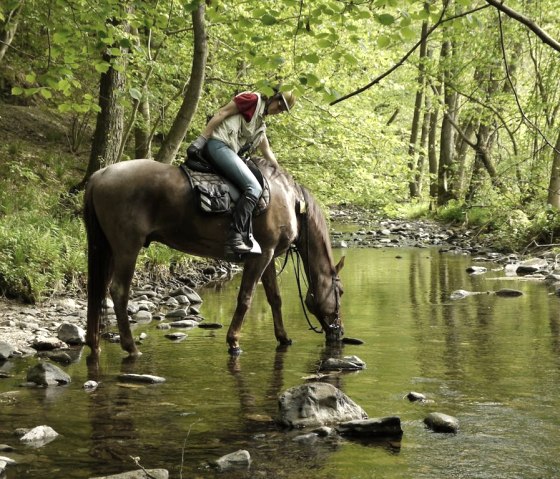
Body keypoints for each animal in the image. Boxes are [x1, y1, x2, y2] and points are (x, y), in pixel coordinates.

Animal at [83, 159, 344, 358]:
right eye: (340, 292)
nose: (339, 333)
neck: (291, 202)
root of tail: (100, 175)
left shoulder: (268, 257)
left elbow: (275, 298)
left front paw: (283, 337)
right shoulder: (261, 256)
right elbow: (246, 298)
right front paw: (234, 341)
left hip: (107, 249)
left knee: (98, 291)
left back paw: (94, 345)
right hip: (127, 248)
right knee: (118, 291)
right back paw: (131, 348)